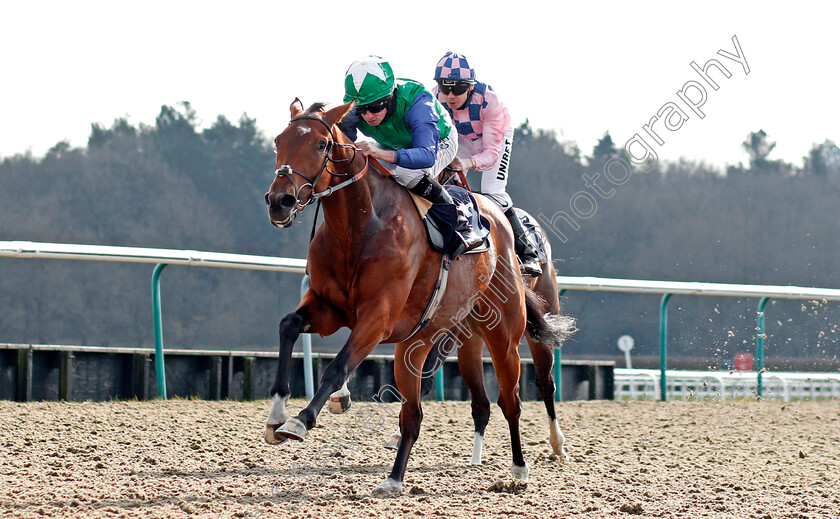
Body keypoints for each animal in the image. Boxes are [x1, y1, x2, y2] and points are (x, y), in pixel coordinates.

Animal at [262, 100, 564, 496]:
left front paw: (300, 420)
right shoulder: (329, 308)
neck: (359, 227)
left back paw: (523, 466)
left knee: (515, 397)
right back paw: (394, 479)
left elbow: (337, 366)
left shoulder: (378, 318)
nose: (279, 201)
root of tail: (500, 223)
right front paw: (277, 414)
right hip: (425, 342)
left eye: (320, 144)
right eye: (278, 142)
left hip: (504, 334)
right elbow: (288, 325)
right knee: (419, 413)